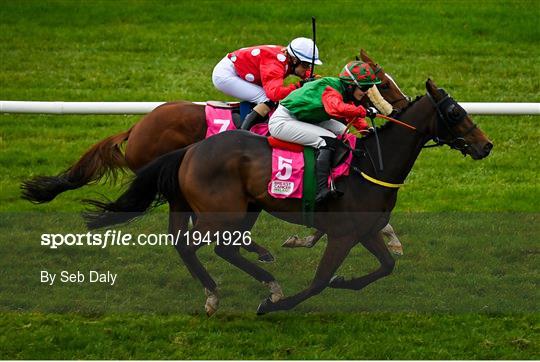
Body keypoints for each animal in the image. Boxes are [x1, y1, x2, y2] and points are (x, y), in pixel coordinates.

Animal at [83, 79, 494, 314]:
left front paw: (345, 281)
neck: (371, 166)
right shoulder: (344, 235)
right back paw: (220, 293)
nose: (486, 145)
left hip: (243, 209)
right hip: (220, 213)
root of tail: (192, 149)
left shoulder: (363, 231)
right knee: (189, 244)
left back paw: (268, 281)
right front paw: (273, 306)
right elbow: (319, 281)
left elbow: (386, 266)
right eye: (454, 112)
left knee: (222, 248)